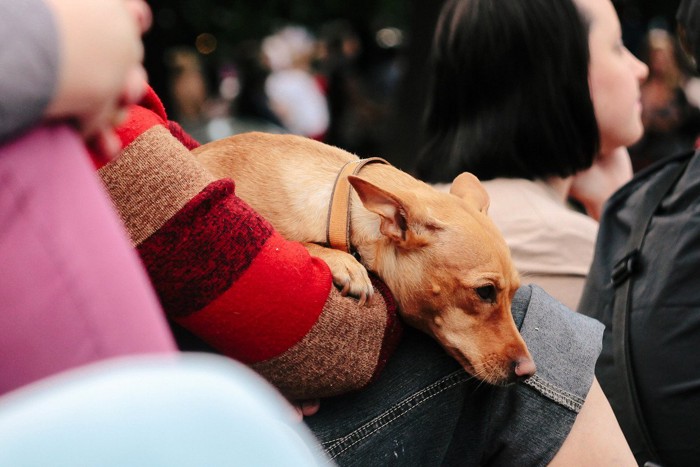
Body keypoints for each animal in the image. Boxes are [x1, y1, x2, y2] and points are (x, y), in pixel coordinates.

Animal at [194, 133, 532, 388]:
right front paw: (344, 263)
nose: (528, 371)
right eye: (485, 292)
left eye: (513, 294)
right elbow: (296, 242)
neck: (338, 205)